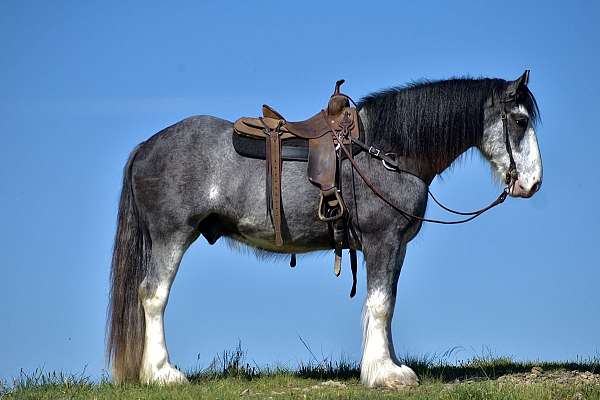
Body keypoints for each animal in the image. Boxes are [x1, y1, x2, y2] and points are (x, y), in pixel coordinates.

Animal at [106, 72, 544, 388]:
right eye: (520, 120)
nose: (533, 183)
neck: (386, 152)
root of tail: (146, 147)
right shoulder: (381, 241)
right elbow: (380, 304)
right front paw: (383, 374)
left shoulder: (396, 247)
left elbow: (388, 304)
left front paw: (389, 364)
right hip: (171, 236)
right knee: (153, 296)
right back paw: (162, 373)